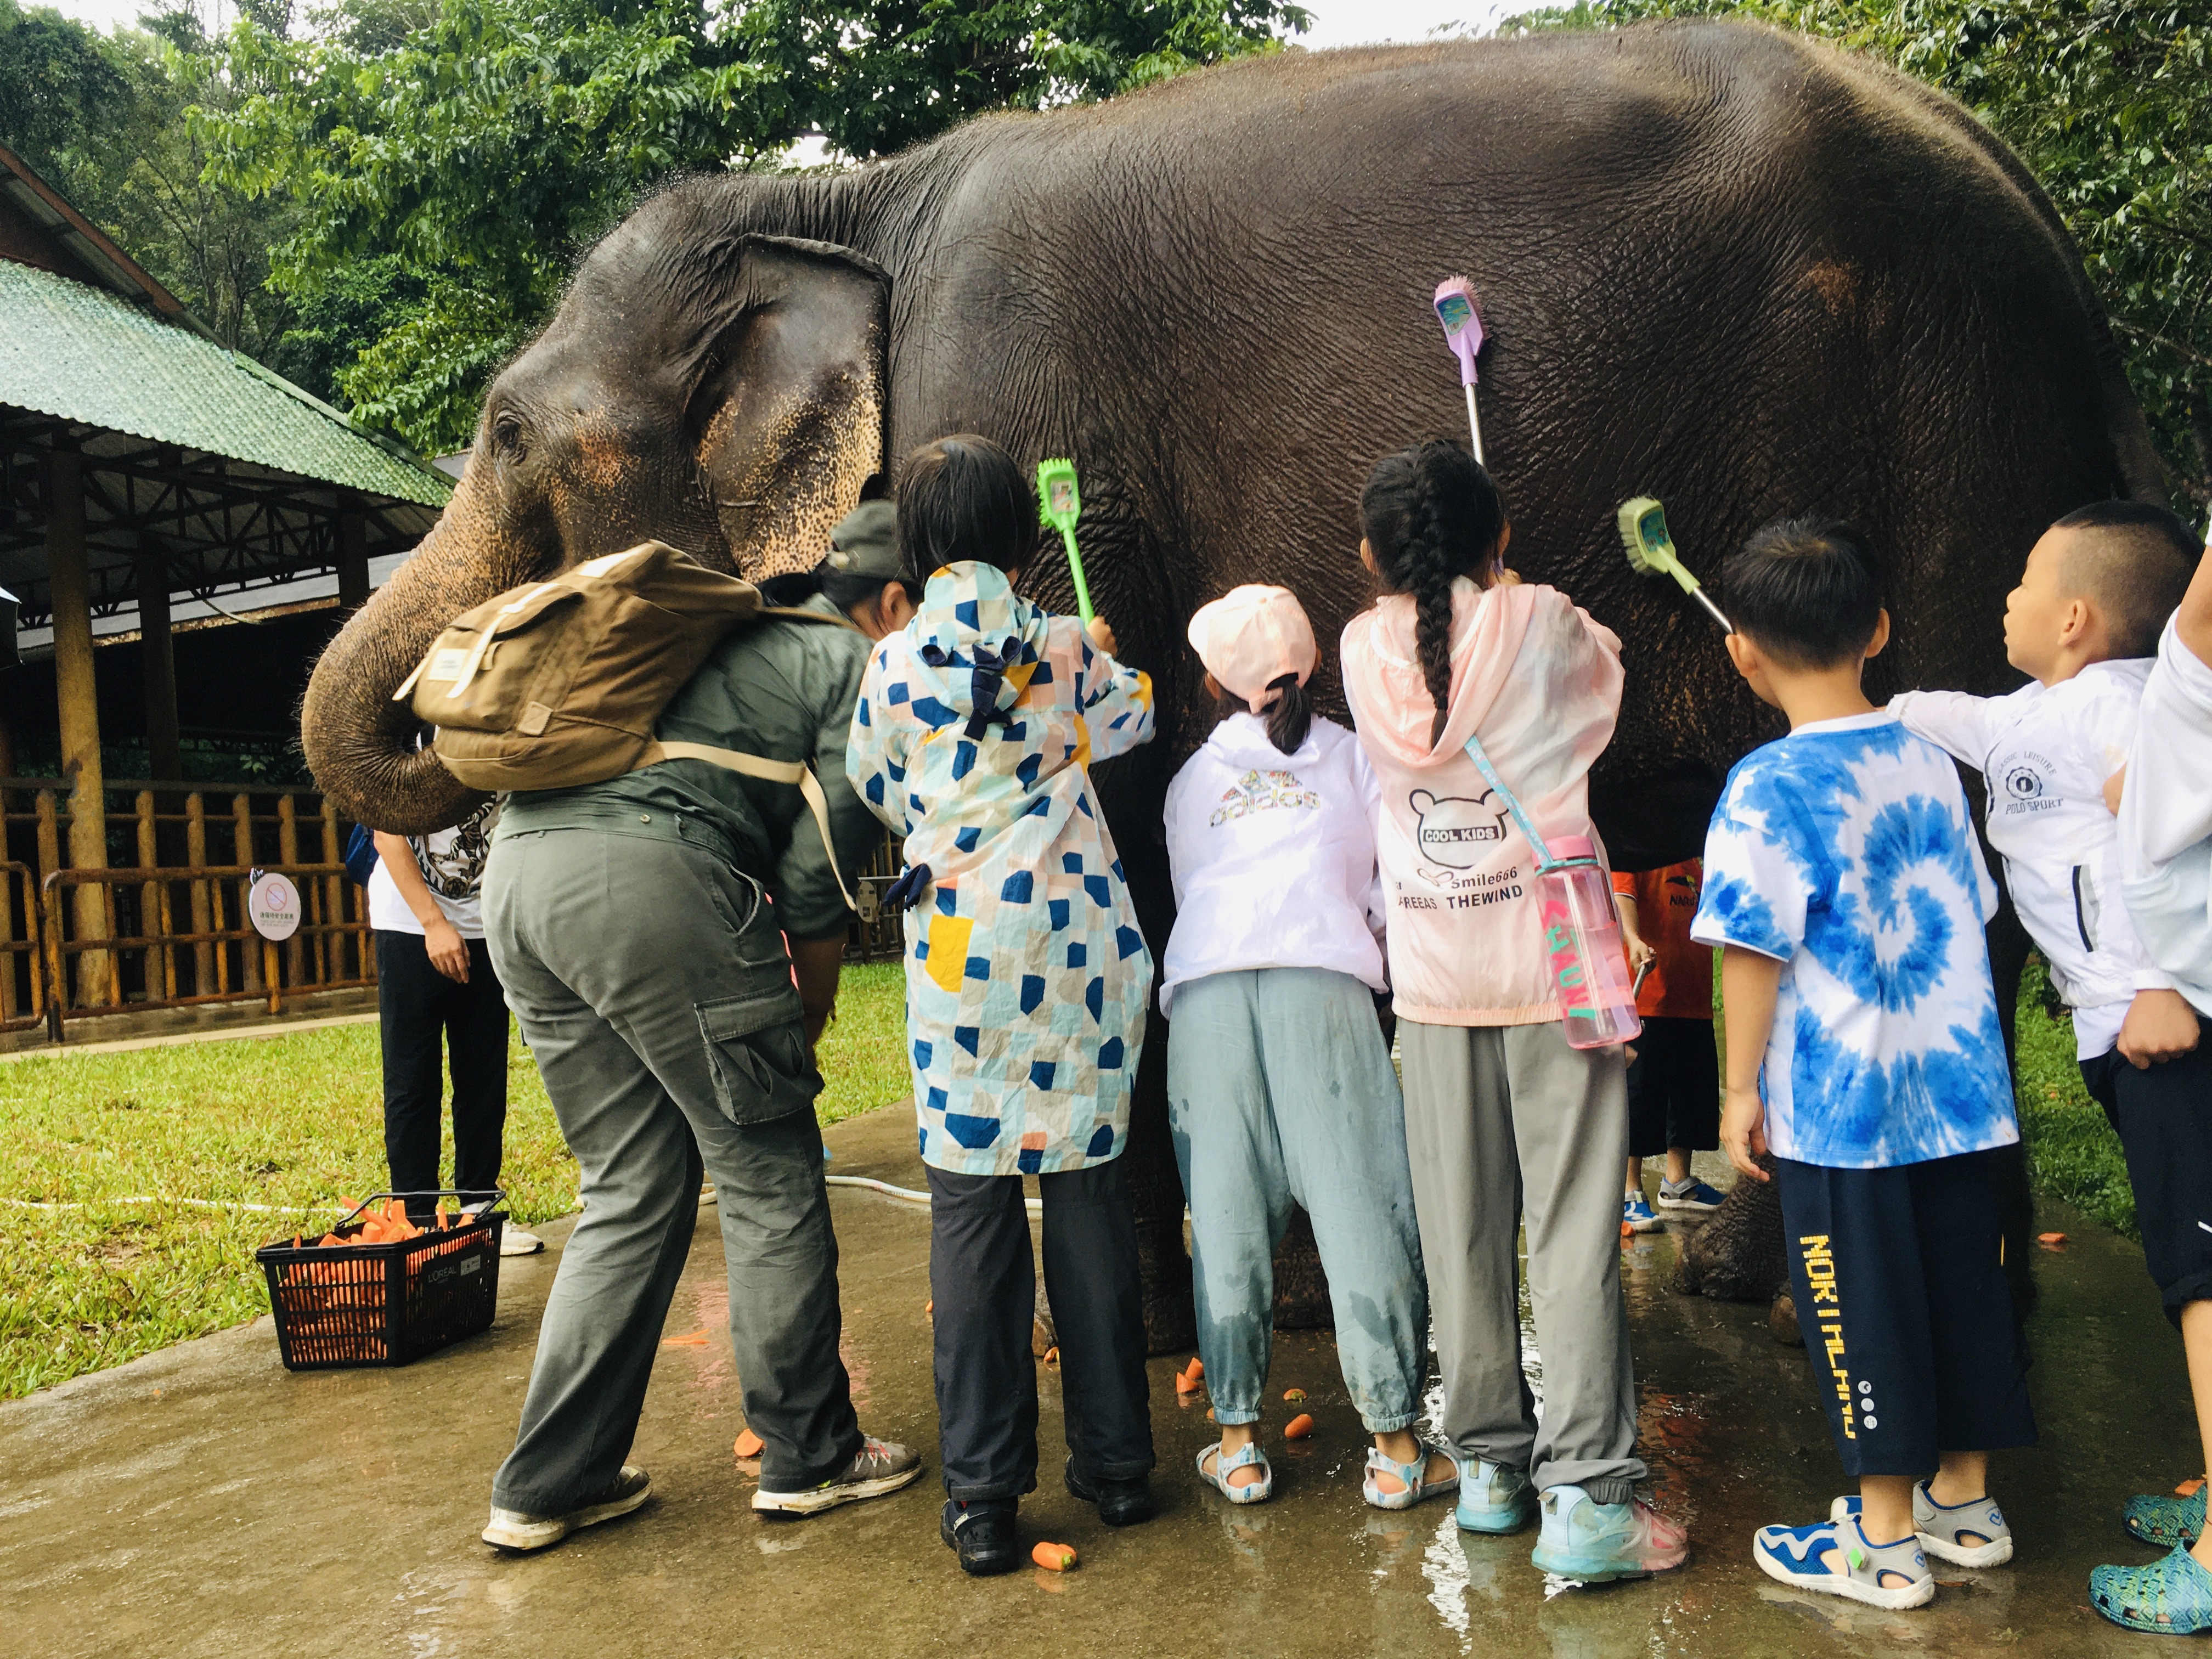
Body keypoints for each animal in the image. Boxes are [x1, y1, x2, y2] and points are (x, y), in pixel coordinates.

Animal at [298, 22, 2159, 1353]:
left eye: (513, 436)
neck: (844, 203)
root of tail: (2038, 203)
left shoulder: (1036, 437)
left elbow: (1109, 808)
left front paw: (1130, 1327)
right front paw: (1289, 1299)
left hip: (1955, 436)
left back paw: (1799, 1286)